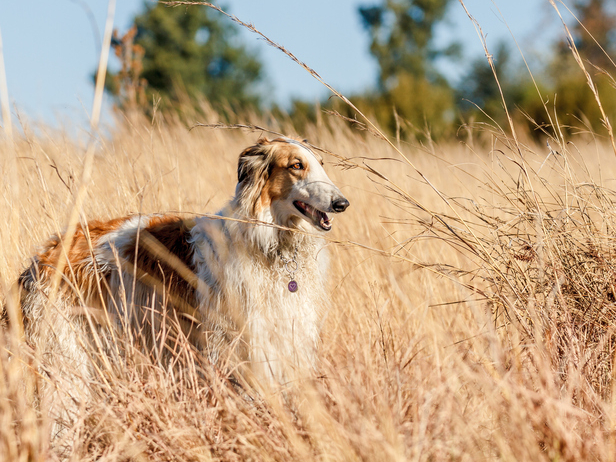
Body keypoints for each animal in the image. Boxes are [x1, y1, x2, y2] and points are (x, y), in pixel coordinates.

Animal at [10, 135, 346, 388]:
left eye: (321, 164)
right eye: (296, 165)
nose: (342, 203)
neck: (268, 244)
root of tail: (41, 257)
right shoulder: (234, 348)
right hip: (65, 361)